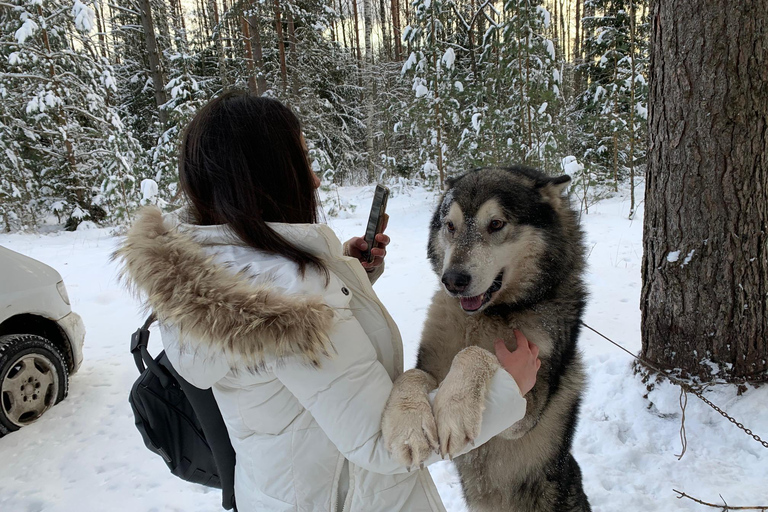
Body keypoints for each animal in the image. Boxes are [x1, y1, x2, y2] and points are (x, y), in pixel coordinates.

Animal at [380, 167, 592, 512]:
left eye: (495, 224)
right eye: (450, 226)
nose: (452, 280)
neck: (486, 316)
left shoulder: (526, 412)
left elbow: (476, 353)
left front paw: (455, 408)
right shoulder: (429, 367)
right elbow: (411, 375)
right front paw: (408, 427)